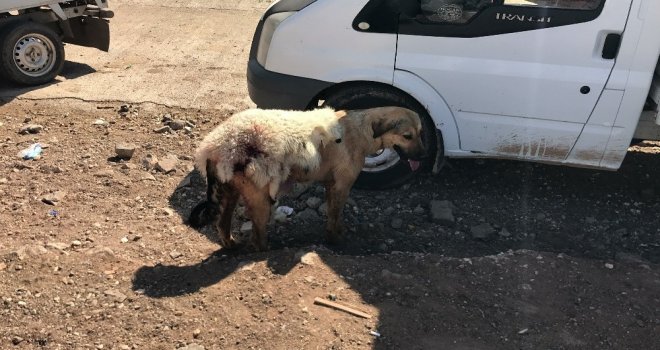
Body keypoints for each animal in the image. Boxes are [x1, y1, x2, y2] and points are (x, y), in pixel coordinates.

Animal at [188, 105, 426, 250]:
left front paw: (337, 231)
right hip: (259, 199)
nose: (424, 156)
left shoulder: (331, 185)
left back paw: (232, 246)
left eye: (421, 132)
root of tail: (215, 146)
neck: (361, 130)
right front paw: (335, 240)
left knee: (222, 224)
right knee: (257, 238)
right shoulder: (342, 186)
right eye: (407, 136)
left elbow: (333, 214)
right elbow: (334, 216)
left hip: (230, 192)